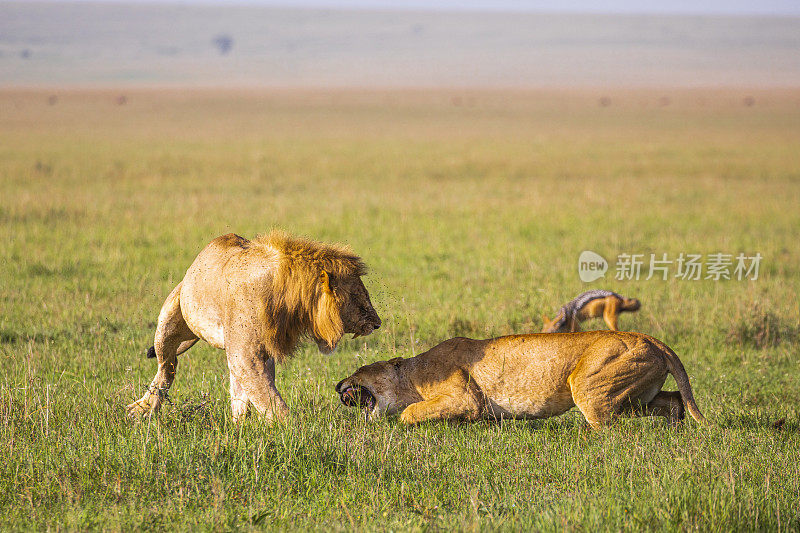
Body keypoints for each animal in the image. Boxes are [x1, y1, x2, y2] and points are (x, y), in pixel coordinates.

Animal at [127, 231, 382, 422]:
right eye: (358, 299)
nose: (378, 323)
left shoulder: (260, 350)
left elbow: (252, 391)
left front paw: (241, 426)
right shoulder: (244, 354)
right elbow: (268, 398)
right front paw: (295, 431)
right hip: (169, 320)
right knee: (167, 368)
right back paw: (142, 409)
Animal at [336, 330, 708, 426]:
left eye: (358, 371)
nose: (336, 385)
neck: (410, 375)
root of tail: (651, 339)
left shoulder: (466, 397)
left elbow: (409, 413)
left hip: (588, 386)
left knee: (612, 430)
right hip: (636, 395)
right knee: (674, 401)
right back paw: (674, 431)